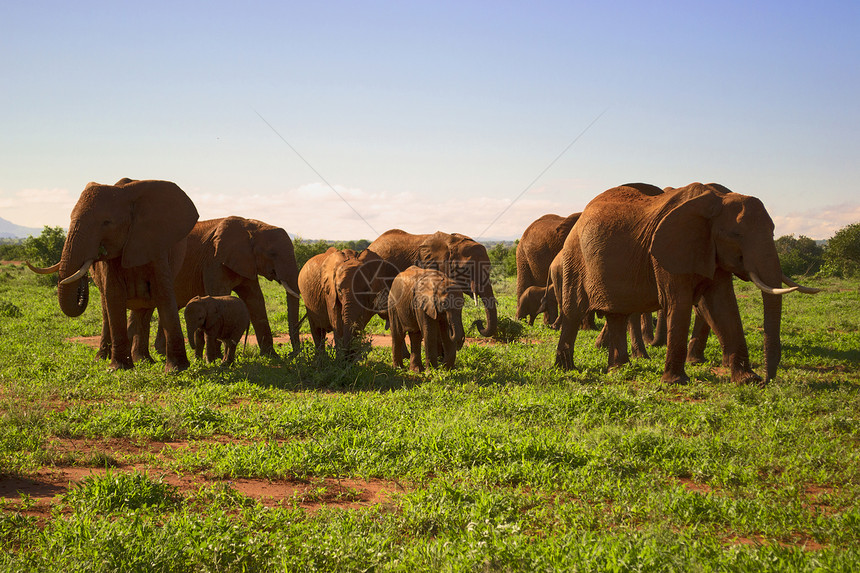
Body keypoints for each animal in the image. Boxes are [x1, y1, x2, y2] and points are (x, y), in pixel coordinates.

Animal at [50, 177, 198, 370]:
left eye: (106, 222)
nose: (93, 257)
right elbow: (114, 295)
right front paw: (118, 368)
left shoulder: (156, 244)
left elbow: (164, 294)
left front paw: (177, 369)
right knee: (107, 310)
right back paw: (102, 359)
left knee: (145, 309)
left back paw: (143, 360)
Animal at [556, 181, 816, 382]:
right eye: (736, 235)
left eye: (773, 231)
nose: (767, 379)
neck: (717, 201)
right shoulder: (667, 251)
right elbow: (678, 303)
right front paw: (676, 382)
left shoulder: (709, 249)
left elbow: (723, 305)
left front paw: (747, 380)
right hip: (574, 257)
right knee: (573, 311)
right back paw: (566, 370)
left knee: (617, 314)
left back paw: (618, 370)